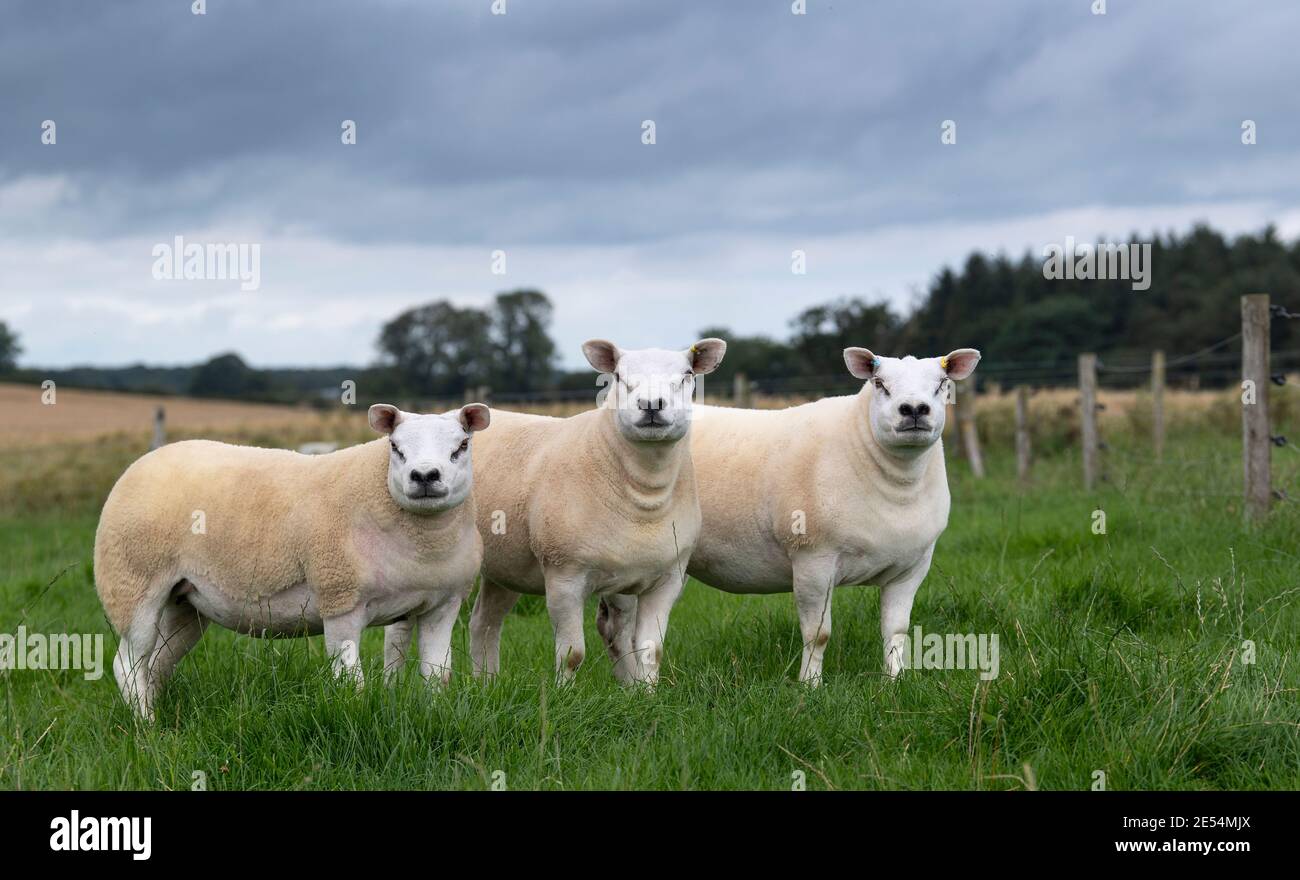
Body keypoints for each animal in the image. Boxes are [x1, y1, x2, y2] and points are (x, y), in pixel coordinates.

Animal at [91, 400, 488, 717]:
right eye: (395, 447)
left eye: (462, 445)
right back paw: (147, 729)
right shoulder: (339, 599)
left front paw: (434, 715)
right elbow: (352, 682)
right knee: (128, 664)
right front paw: (355, 720)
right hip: (133, 581)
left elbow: (437, 676)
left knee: (156, 663)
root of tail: (148, 458)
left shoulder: (443, 605)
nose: (425, 476)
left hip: (185, 602)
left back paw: (157, 717)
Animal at [449, 335, 722, 686]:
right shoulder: (565, 576)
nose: (651, 405)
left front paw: (648, 694)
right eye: (618, 376)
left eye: (688, 375)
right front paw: (563, 695)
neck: (644, 492)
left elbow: (651, 650)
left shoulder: (667, 579)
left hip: (506, 566)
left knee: (484, 622)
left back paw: (488, 684)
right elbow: (572, 654)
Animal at [603, 345, 977, 681]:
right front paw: (810, 687)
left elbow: (896, 631)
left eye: (942, 383)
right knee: (617, 628)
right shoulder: (814, 559)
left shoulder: (912, 567)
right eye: (880, 383)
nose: (913, 409)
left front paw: (894, 683)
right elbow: (818, 634)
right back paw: (632, 687)